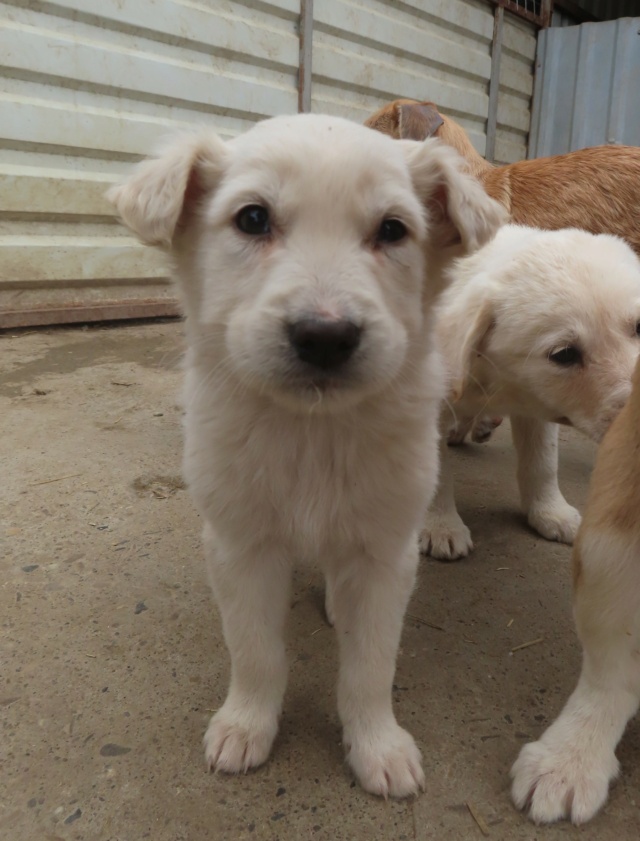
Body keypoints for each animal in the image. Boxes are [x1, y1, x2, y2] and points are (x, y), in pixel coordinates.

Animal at [106, 116, 504, 796]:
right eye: (253, 219)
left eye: (393, 230)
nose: (325, 336)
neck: (314, 432)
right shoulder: (240, 544)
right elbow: (255, 650)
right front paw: (246, 725)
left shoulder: (386, 552)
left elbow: (371, 664)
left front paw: (376, 745)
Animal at [420, 223, 640, 556]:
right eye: (564, 354)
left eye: (639, 327)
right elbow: (434, 467)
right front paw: (440, 526)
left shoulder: (537, 400)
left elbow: (543, 460)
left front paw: (550, 512)